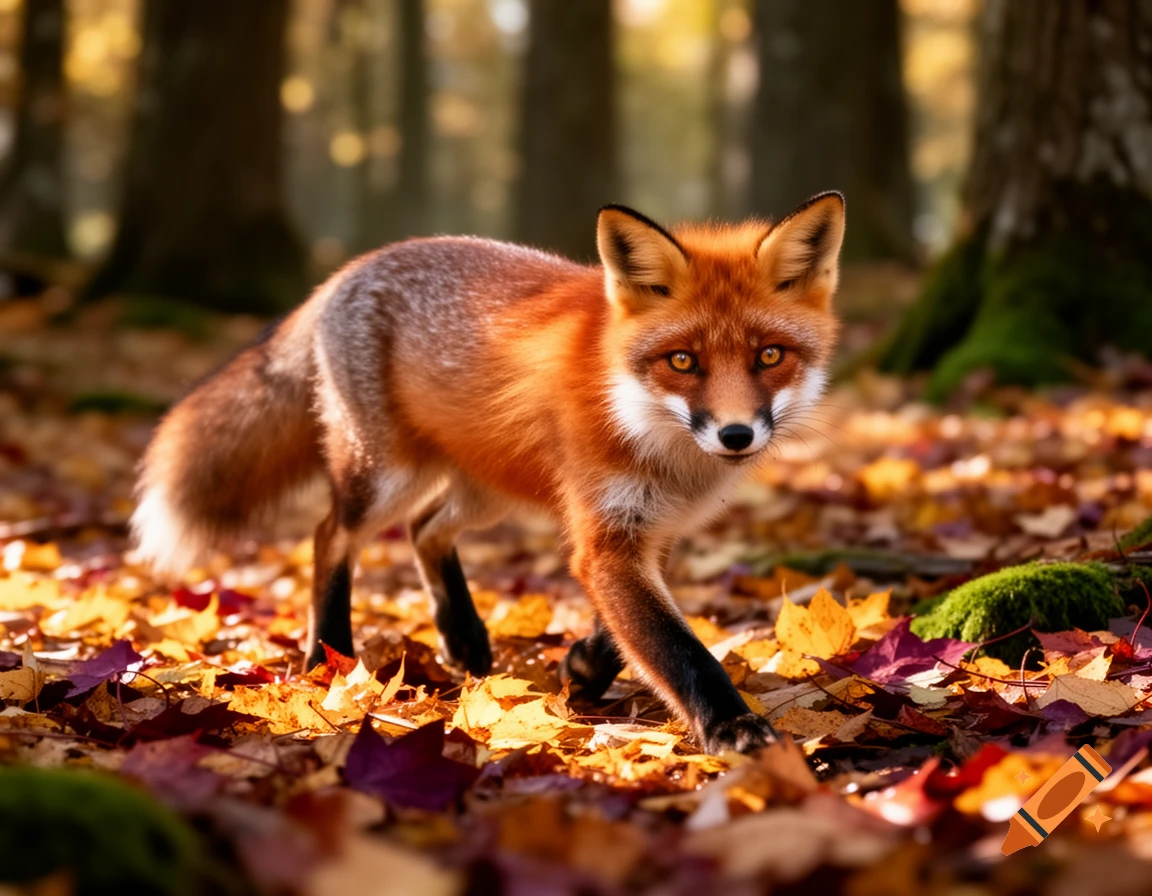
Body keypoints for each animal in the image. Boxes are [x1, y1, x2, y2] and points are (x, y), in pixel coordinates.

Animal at [131, 191, 844, 753]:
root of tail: (348, 270)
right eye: (683, 361)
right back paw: (329, 655)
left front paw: (584, 667)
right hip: (387, 476)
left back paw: (464, 639)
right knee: (331, 534)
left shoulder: (651, 529)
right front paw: (731, 727)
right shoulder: (608, 533)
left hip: (489, 487)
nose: (735, 434)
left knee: (424, 529)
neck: (646, 426)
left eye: (770, 356)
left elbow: (628, 628)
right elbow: (679, 649)